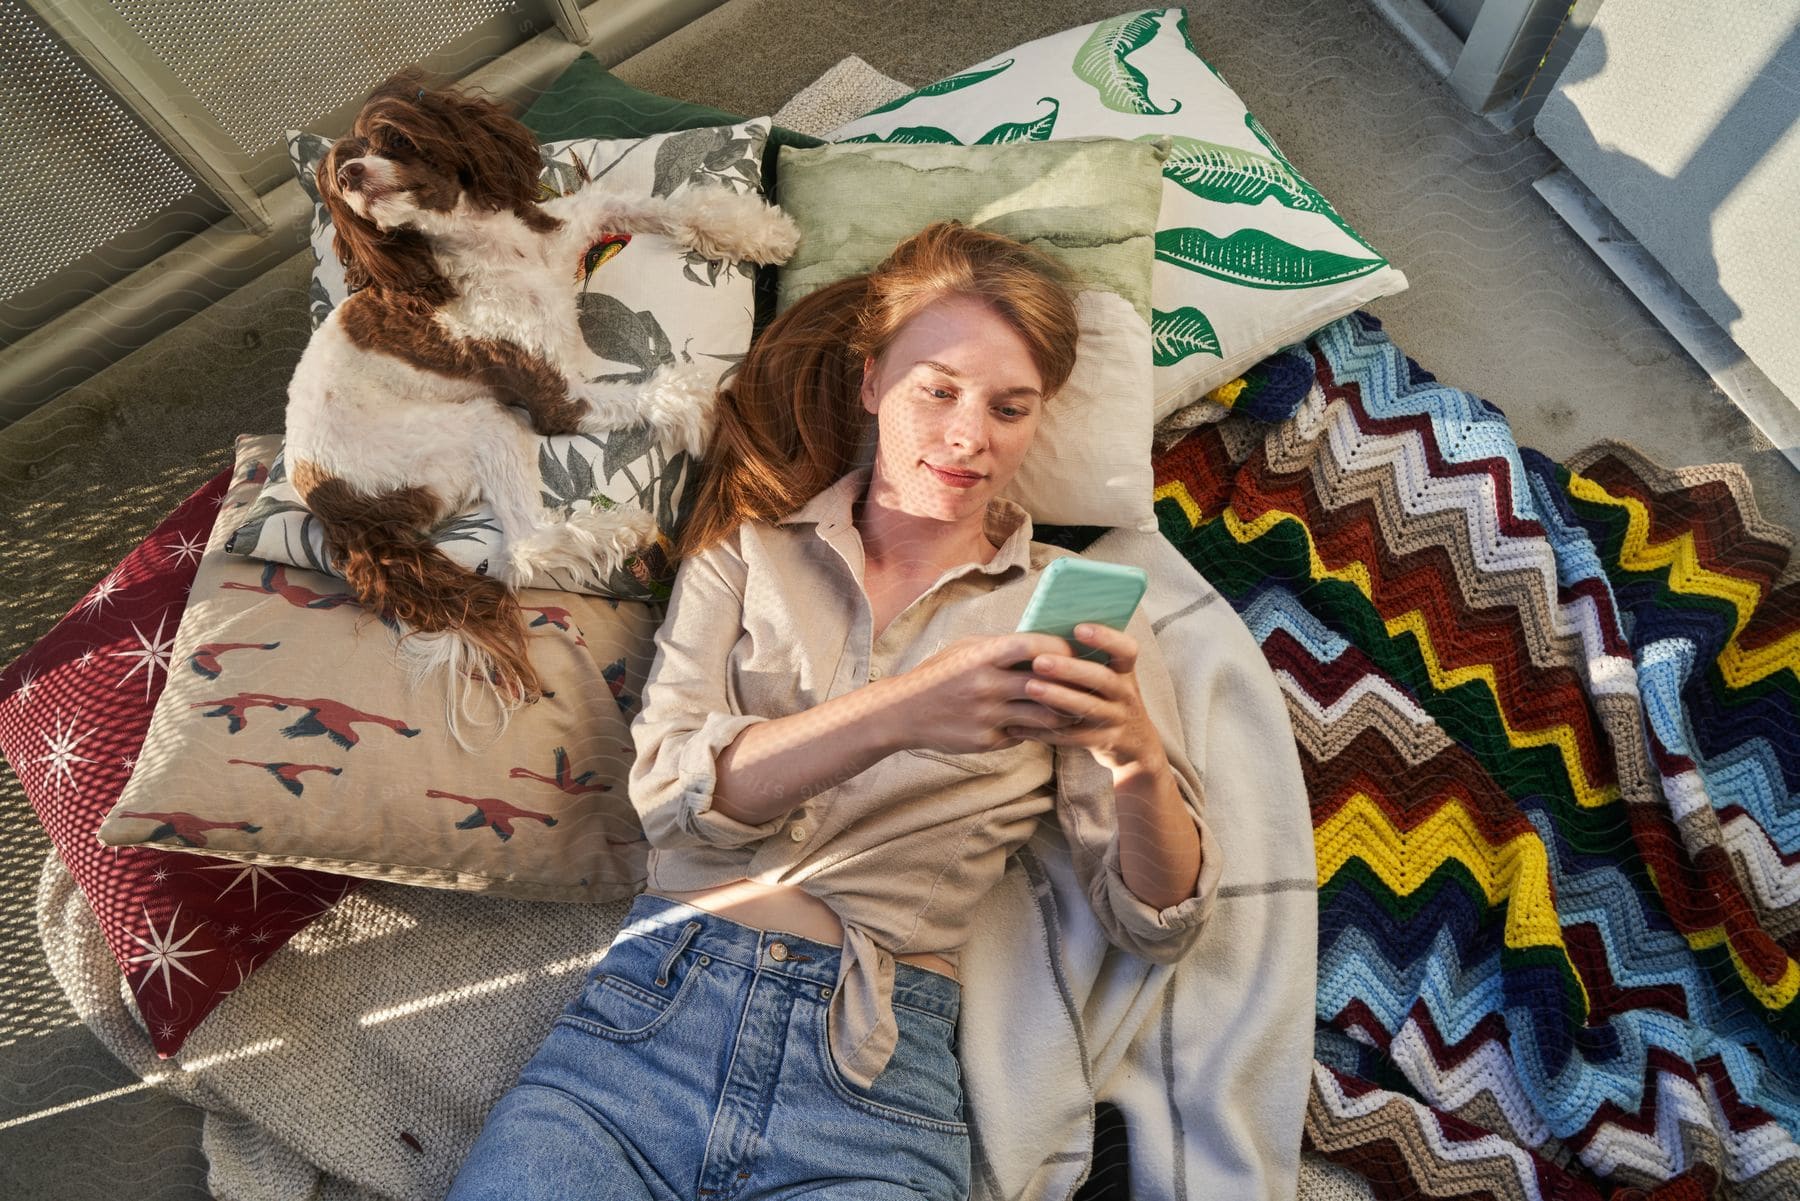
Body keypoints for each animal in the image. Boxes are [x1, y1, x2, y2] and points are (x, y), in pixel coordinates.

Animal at [288, 72, 795, 734]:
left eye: (391, 139)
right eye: (339, 178)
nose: (350, 176)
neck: (493, 251)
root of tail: (331, 506)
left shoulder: (579, 220)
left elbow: (668, 205)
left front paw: (759, 231)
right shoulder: (553, 395)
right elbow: (673, 387)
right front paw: (727, 424)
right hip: (480, 423)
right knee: (524, 546)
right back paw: (619, 530)